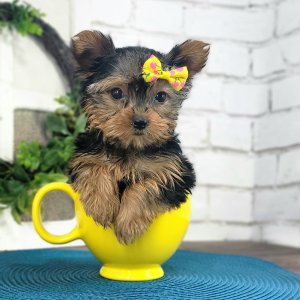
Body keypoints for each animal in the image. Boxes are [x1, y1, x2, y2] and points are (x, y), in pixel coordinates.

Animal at [69, 29, 209, 244]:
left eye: (160, 96)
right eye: (116, 93)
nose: (141, 121)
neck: (130, 148)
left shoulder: (175, 171)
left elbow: (148, 185)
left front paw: (129, 223)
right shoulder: (86, 155)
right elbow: (95, 167)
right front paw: (102, 207)